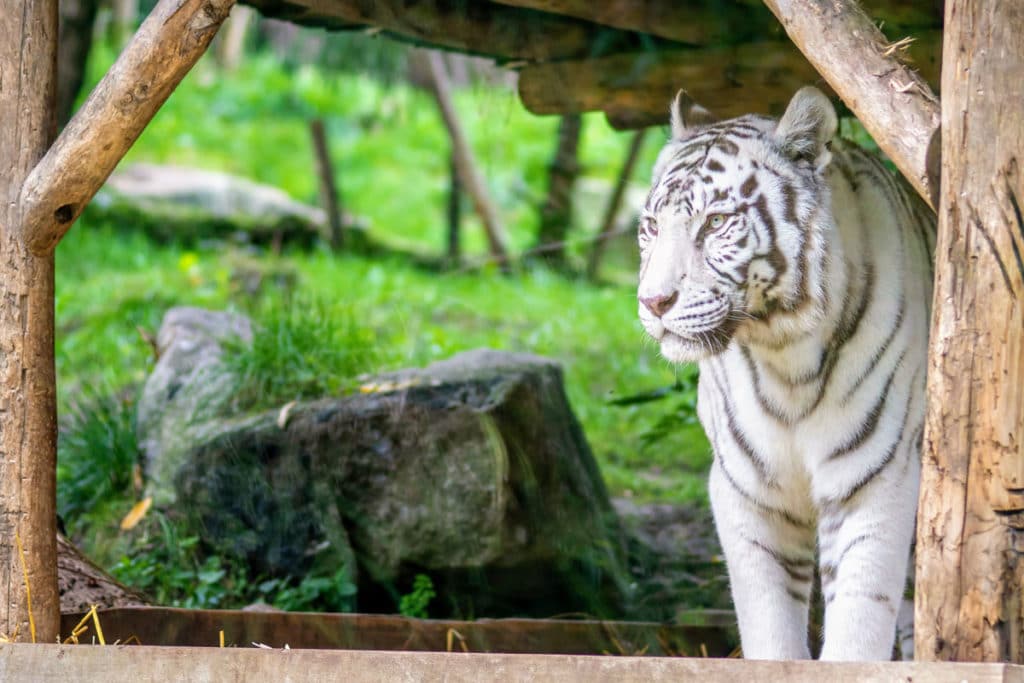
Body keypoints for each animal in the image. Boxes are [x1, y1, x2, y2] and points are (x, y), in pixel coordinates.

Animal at [638, 87, 937, 663]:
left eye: (715, 223)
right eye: (651, 227)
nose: (654, 302)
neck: (784, 356)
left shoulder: (875, 475)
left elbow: (860, 621)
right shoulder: (747, 489)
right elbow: (769, 624)